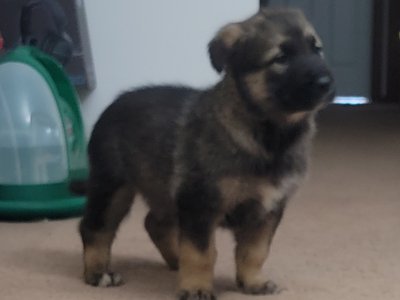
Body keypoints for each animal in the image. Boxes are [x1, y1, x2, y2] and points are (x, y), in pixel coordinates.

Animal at [78, 7, 334, 300]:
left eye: (317, 50)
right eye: (281, 58)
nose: (327, 83)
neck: (269, 134)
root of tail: (114, 104)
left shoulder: (267, 210)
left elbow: (254, 252)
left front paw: (253, 282)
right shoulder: (199, 203)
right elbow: (201, 254)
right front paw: (196, 287)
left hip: (163, 189)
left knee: (154, 224)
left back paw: (174, 261)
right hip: (112, 187)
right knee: (94, 227)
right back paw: (98, 272)